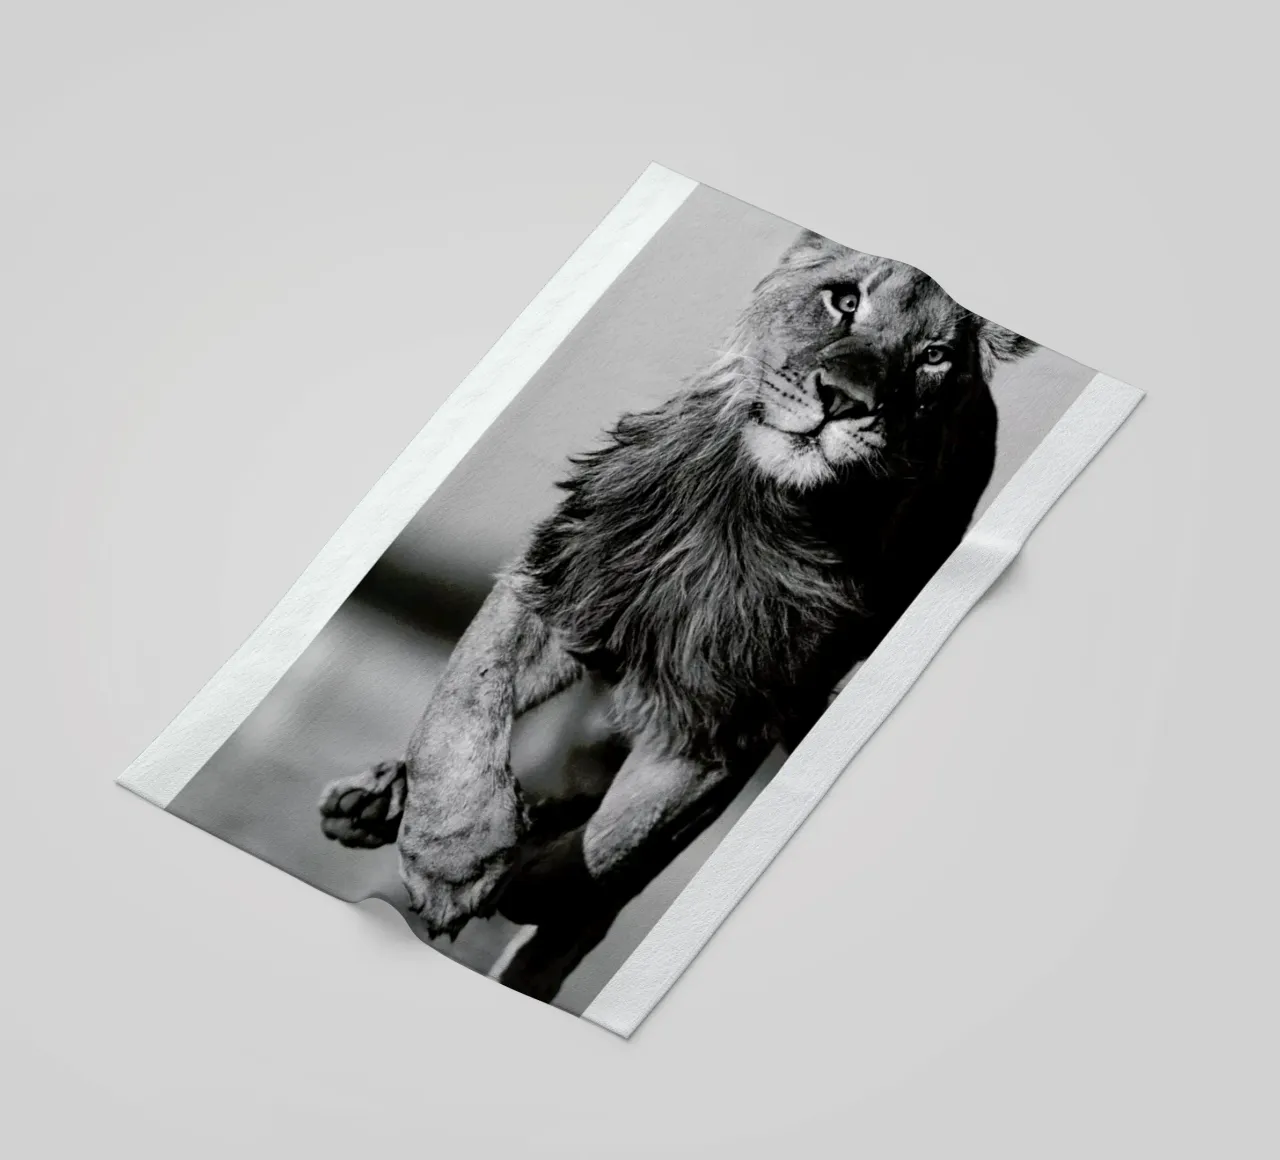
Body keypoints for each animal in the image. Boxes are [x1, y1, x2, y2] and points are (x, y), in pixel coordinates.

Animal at [318, 229, 1035, 1000]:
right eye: (844, 300)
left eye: (934, 357)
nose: (846, 402)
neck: (755, 510)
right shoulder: (564, 578)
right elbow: (464, 701)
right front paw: (455, 857)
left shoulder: (741, 710)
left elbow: (630, 836)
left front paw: (531, 881)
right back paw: (377, 803)